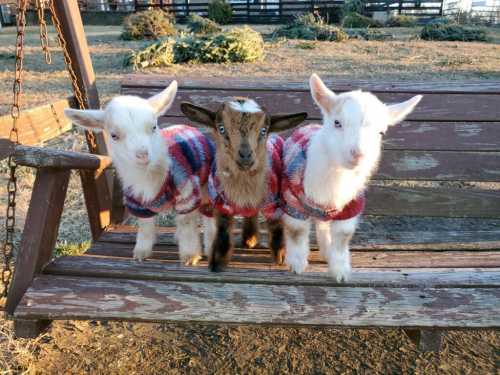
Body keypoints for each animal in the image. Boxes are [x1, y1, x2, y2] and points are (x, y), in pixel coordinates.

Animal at [64, 81, 215, 266]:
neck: (149, 176)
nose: (143, 155)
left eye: (154, 127)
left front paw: (190, 256)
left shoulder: (186, 192)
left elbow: (187, 223)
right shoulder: (137, 200)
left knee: (208, 217)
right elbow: (145, 226)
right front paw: (141, 253)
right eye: (114, 135)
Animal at [180, 98, 304, 272]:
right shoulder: (221, 202)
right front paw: (217, 263)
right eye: (221, 128)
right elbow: (223, 230)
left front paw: (281, 255)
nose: (246, 155)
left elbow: (276, 224)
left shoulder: (274, 200)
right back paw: (249, 238)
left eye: (264, 130)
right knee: (251, 213)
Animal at [282, 74, 422, 282]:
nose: (358, 155)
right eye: (337, 123)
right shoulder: (292, 200)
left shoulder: (351, 205)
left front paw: (340, 271)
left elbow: (343, 235)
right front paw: (297, 264)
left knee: (323, 225)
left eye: (381, 132)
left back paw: (326, 250)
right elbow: (297, 230)